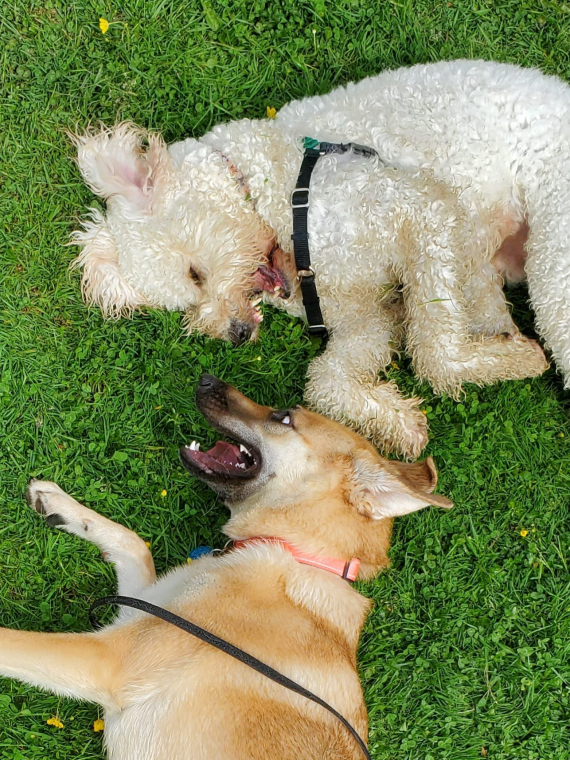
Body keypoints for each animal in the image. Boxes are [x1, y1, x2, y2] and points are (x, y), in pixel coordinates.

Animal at [0, 375, 452, 760]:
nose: (206, 379)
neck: (295, 552)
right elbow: (134, 543)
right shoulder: (138, 608)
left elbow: (10, 640)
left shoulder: (110, 656)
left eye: (283, 417)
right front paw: (60, 505)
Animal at [71, 59, 570, 457]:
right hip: (488, 268)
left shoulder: (419, 211)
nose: (235, 335)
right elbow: (325, 380)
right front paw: (398, 422)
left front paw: (501, 363)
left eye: (195, 274)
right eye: (189, 304)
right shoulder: (363, 315)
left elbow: (433, 354)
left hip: (554, 269)